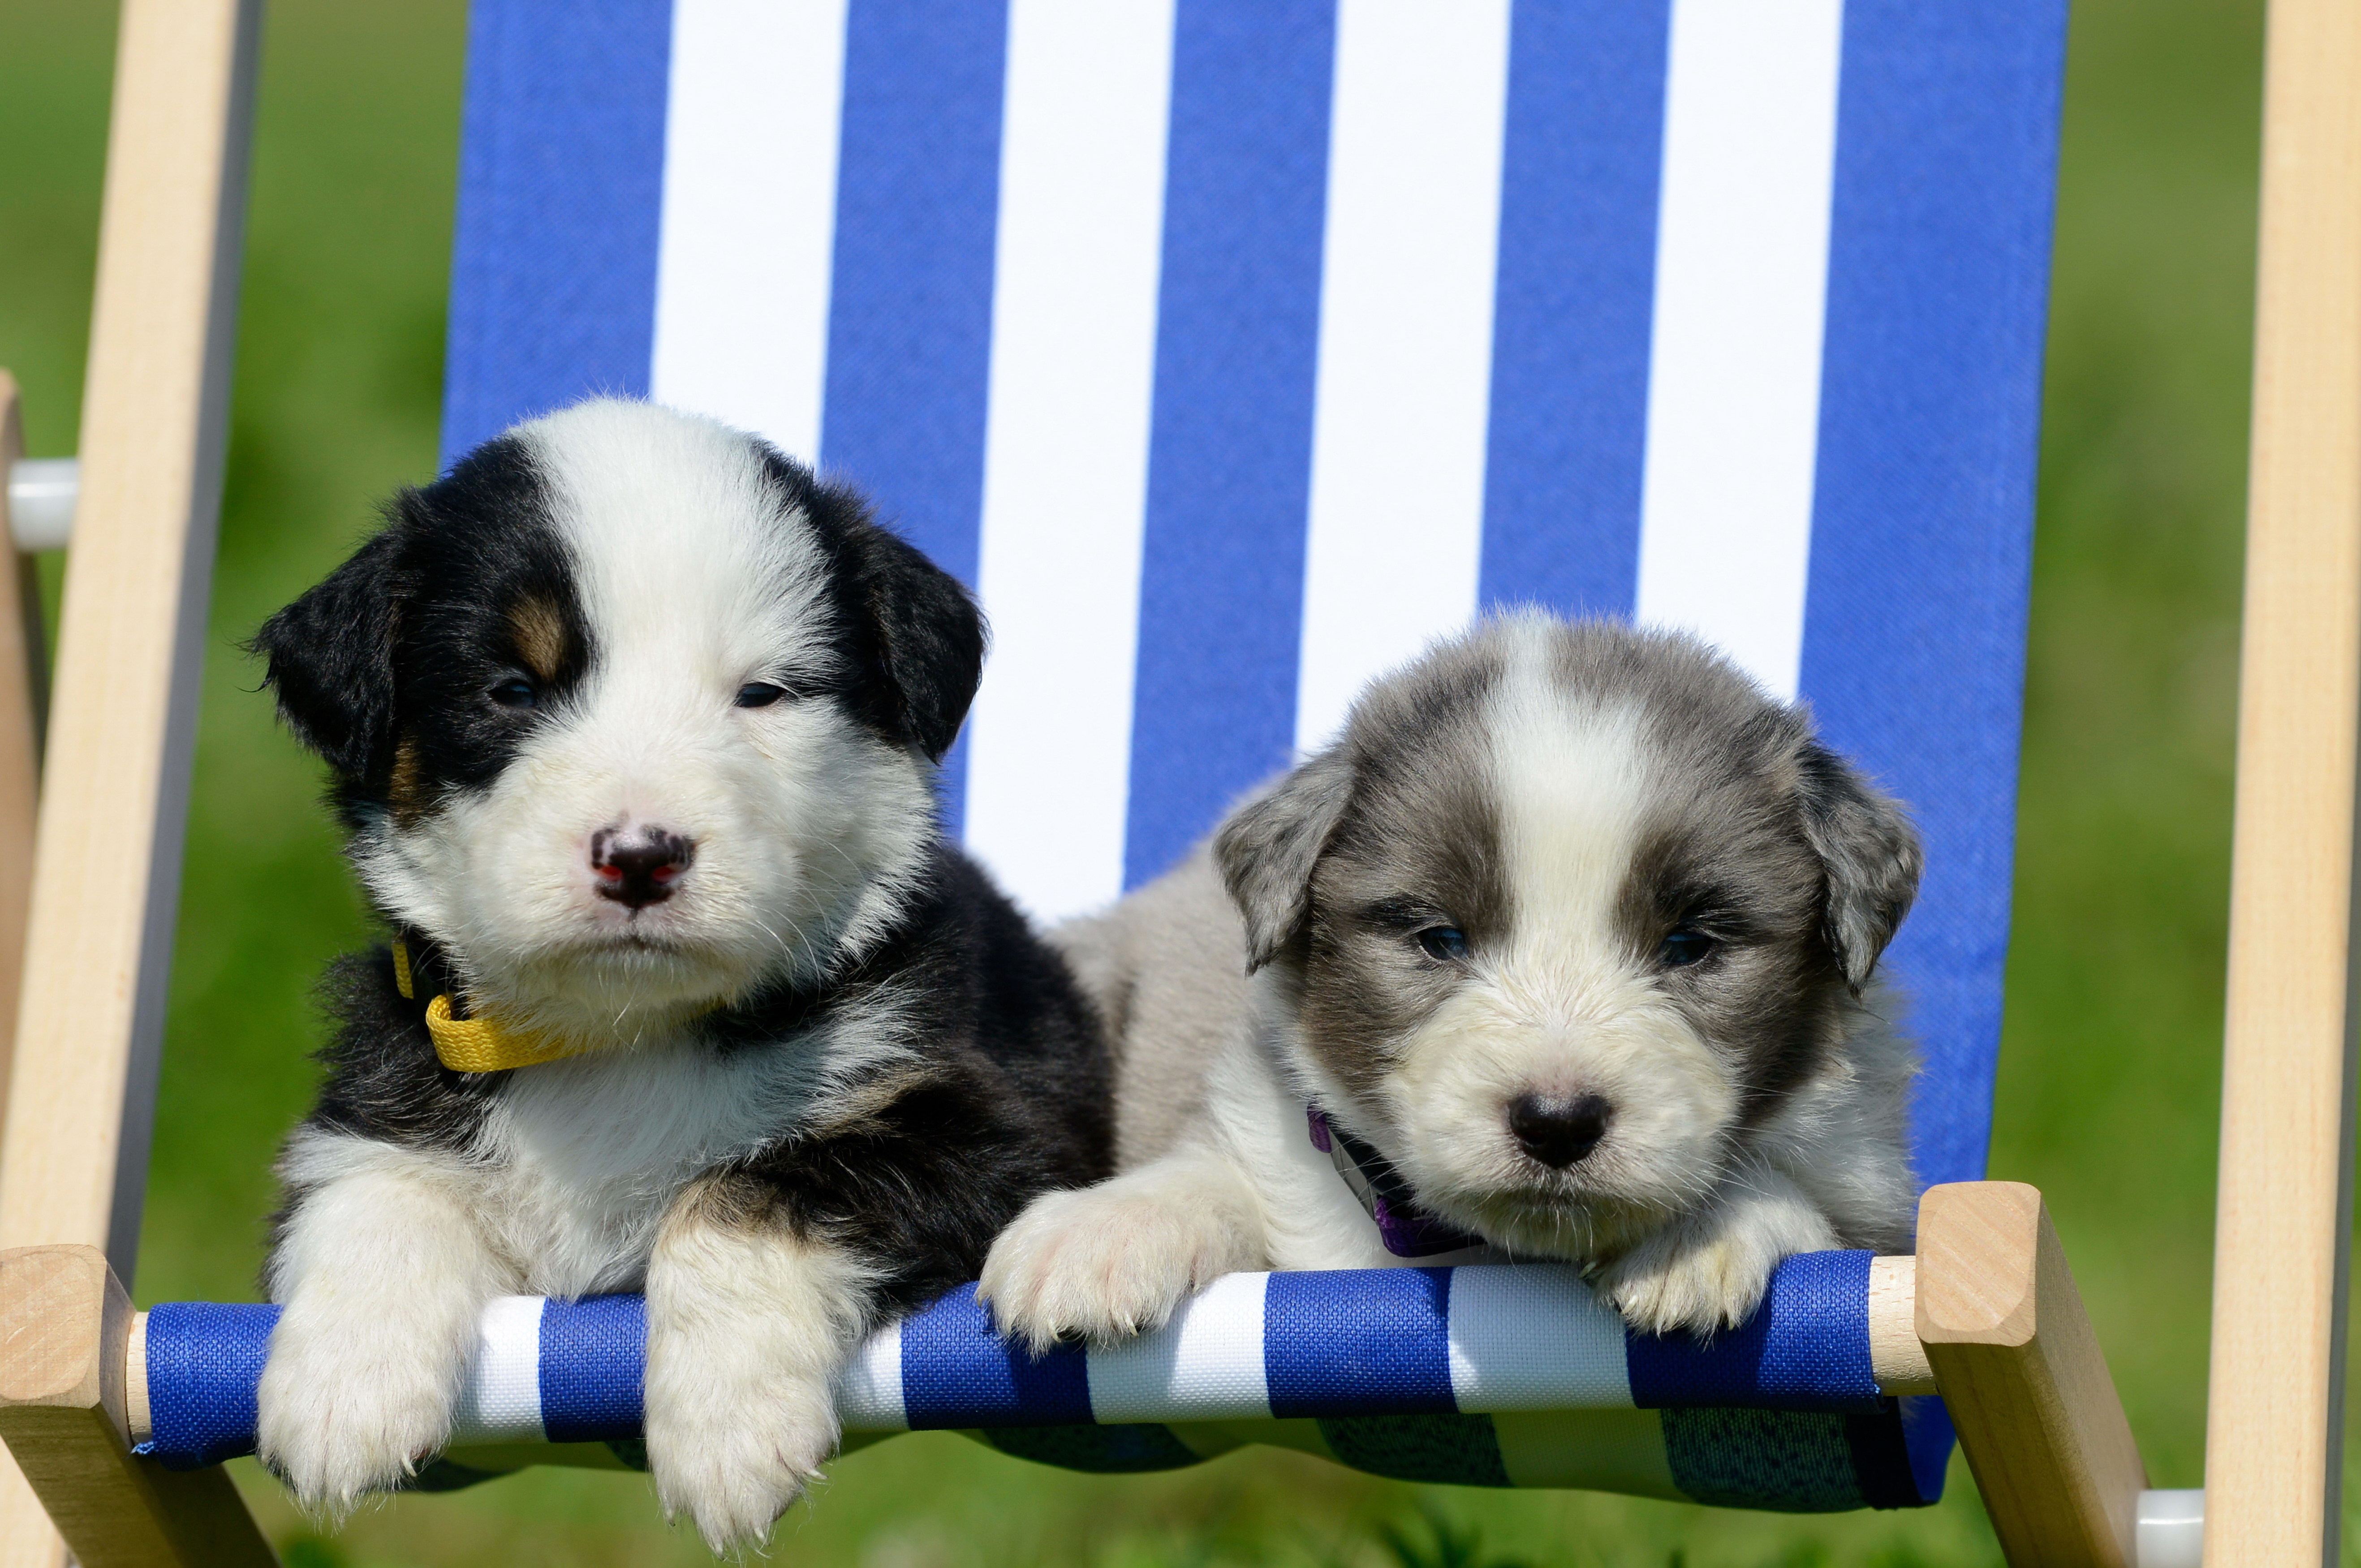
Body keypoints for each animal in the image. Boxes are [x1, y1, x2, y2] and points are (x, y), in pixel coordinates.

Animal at [254, 399, 1109, 1549]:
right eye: (511, 688)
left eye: (763, 694)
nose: (640, 854)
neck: (624, 1035)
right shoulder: (393, 1071)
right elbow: (375, 1186)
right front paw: (342, 1389)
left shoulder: (992, 1123)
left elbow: (746, 1187)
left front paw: (727, 1432)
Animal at [977, 614, 1917, 1351]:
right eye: (1440, 939)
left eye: (1690, 945)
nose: (1558, 1122)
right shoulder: (1268, 1145)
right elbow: (1209, 1179)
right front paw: (1097, 1233)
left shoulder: (1877, 1209)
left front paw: (1697, 1234)